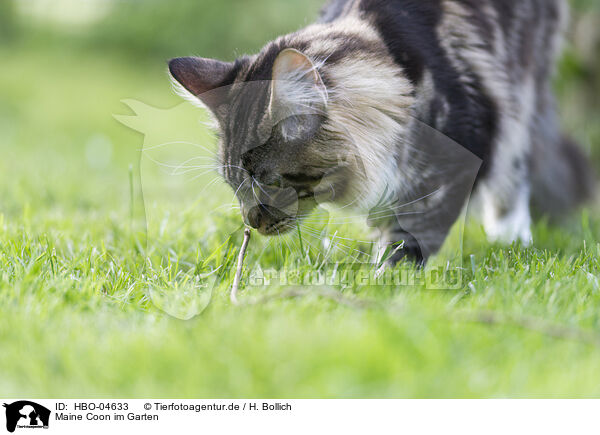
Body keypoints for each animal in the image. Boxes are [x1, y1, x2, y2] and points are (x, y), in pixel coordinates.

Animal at [168, 0, 596, 264]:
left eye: (269, 183)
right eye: (234, 185)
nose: (250, 222)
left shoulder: (453, 164)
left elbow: (408, 238)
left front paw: (385, 285)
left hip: (523, 86)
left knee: (516, 166)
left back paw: (511, 239)